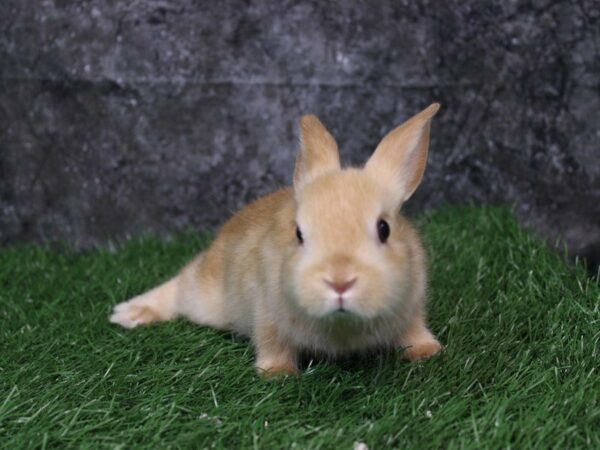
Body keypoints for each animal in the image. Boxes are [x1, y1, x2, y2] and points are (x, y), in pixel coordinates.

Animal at [110, 103, 442, 376]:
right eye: (298, 234)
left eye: (384, 229)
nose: (339, 282)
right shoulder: (267, 314)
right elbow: (272, 343)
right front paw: (278, 373)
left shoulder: (413, 308)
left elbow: (415, 332)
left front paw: (428, 351)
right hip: (204, 295)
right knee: (178, 289)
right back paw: (129, 314)